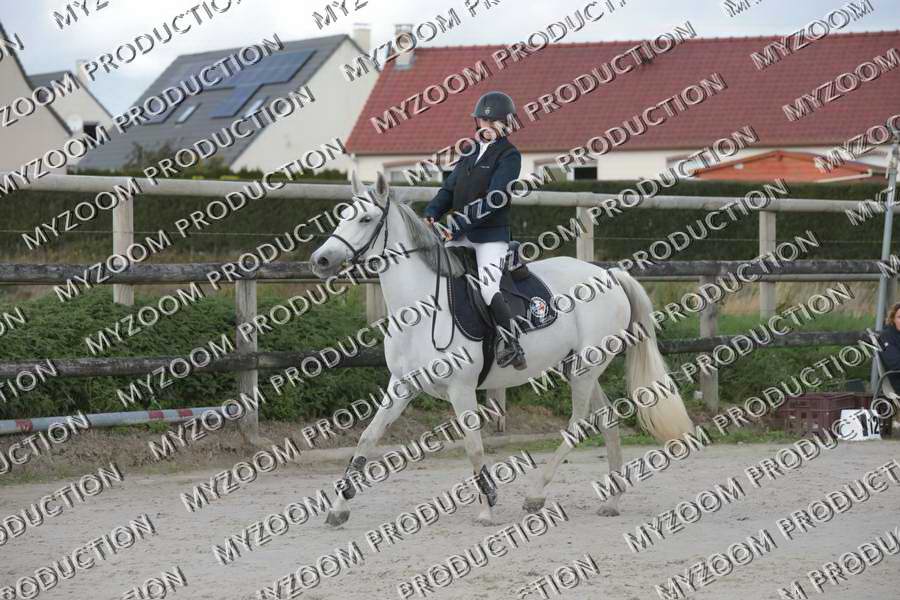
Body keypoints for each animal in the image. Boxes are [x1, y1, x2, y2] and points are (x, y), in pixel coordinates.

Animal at [310, 171, 694, 526]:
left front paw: (486, 507)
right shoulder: (401, 386)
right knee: (607, 420)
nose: (321, 260)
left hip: (587, 365)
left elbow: (474, 447)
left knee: (579, 423)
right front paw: (338, 508)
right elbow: (367, 439)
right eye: (343, 215)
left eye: (365, 219)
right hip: (580, 366)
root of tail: (610, 274)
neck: (421, 308)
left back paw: (536, 495)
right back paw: (612, 500)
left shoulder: (461, 389)